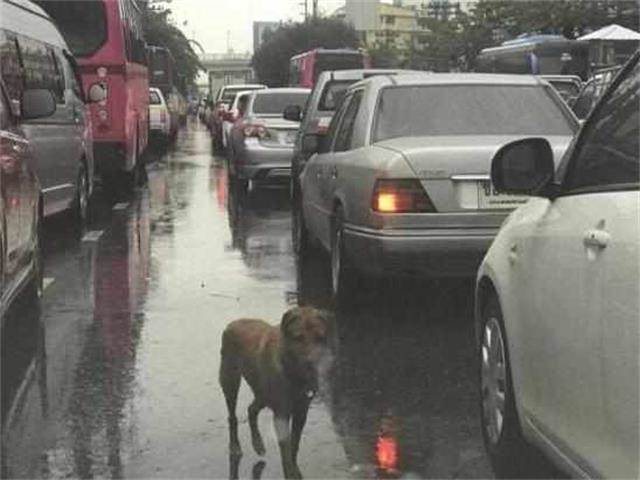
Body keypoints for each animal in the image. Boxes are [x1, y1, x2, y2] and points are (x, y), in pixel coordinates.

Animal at [219, 308, 332, 480]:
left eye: (320, 337)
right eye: (298, 337)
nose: (312, 364)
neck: (293, 371)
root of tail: (231, 324)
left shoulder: (301, 410)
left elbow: (294, 444)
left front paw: (294, 469)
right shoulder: (281, 414)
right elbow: (285, 449)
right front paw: (289, 472)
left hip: (262, 392)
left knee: (252, 409)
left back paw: (257, 443)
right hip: (230, 379)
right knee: (232, 416)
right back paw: (235, 447)